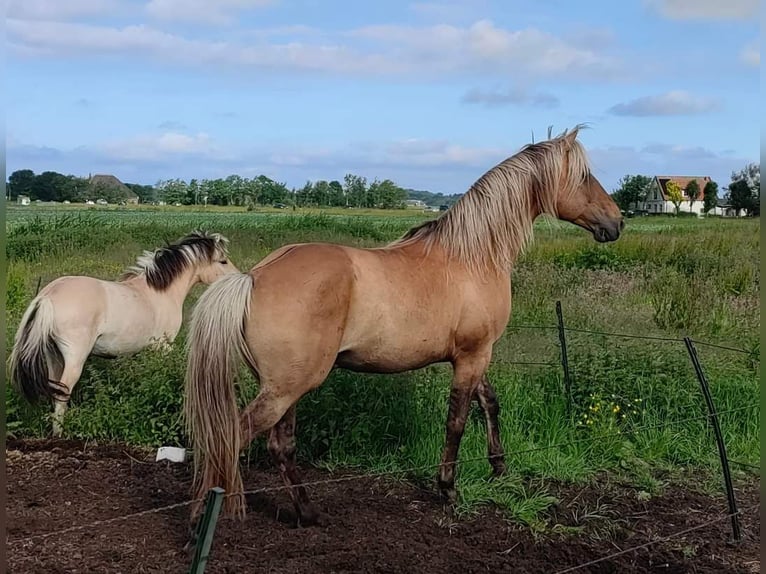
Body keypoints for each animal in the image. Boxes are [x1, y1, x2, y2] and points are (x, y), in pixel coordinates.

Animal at [7, 230, 238, 436]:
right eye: (223, 261)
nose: (237, 277)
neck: (160, 292)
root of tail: (47, 296)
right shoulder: (163, 347)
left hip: (53, 355)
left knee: (56, 390)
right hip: (74, 358)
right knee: (63, 392)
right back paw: (60, 433)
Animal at [184, 126, 624, 528]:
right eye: (584, 176)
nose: (617, 222)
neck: (472, 255)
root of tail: (253, 277)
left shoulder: (478, 354)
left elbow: (490, 404)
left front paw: (499, 468)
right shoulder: (472, 356)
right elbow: (457, 420)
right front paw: (448, 488)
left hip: (285, 388)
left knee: (280, 445)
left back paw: (308, 512)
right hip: (286, 388)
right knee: (235, 437)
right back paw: (203, 517)